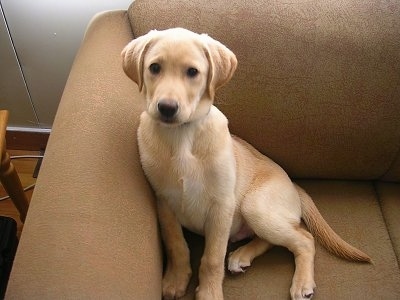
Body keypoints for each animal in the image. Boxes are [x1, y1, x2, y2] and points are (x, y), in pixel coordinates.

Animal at [121, 28, 368, 300]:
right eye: (154, 67)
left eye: (193, 72)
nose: (166, 108)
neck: (182, 136)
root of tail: (294, 186)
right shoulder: (164, 201)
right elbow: (177, 245)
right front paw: (176, 279)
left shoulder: (221, 205)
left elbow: (212, 258)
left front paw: (209, 293)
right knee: (276, 238)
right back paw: (241, 256)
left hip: (255, 205)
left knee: (304, 238)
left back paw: (301, 283)